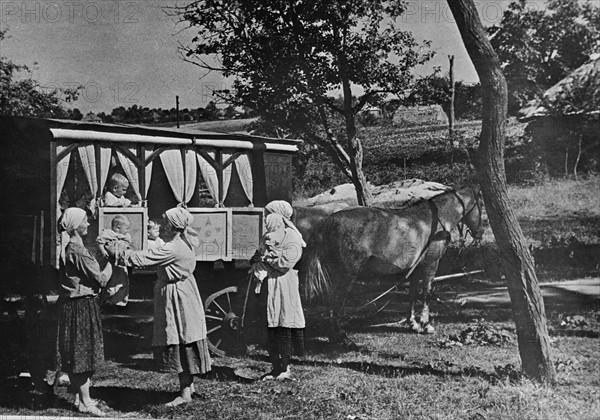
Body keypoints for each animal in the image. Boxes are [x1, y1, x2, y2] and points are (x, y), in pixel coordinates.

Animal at [302, 185, 486, 342]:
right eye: (481, 205)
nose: (480, 232)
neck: (435, 222)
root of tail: (329, 220)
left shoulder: (416, 268)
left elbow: (412, 293)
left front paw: (414, 324)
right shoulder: (431, 264)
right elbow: (426, 292)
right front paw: (426, 325)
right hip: (346, 275)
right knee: (337, 301)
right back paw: (341, 337)